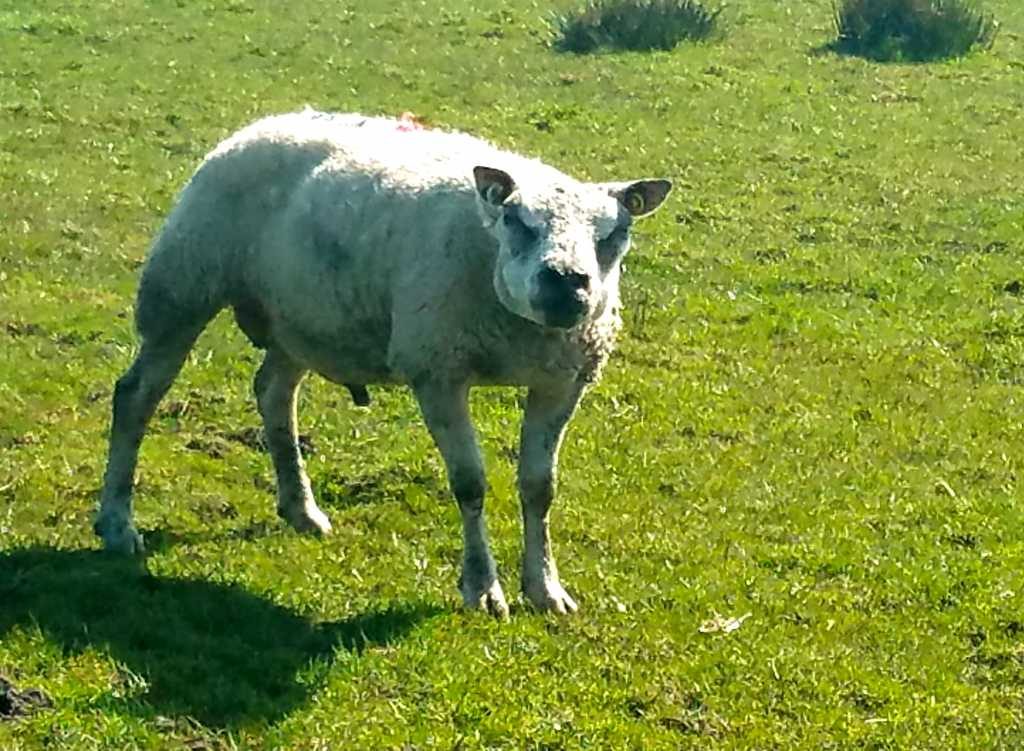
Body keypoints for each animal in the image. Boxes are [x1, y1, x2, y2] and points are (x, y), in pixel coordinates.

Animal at [95, 109, 671, 617]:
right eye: (515, 220)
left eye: (614, 232)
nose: (566, 283)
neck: (520, 327)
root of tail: (269, 122)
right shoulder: (437, 370)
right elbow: (470, 482)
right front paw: (482, 589)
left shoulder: (563, 381)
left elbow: (540, 487)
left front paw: (547, 589)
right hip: (182, 286)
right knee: (136, 396)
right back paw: (117, 523)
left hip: (300, 318)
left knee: (274, 392)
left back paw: (301, 509)